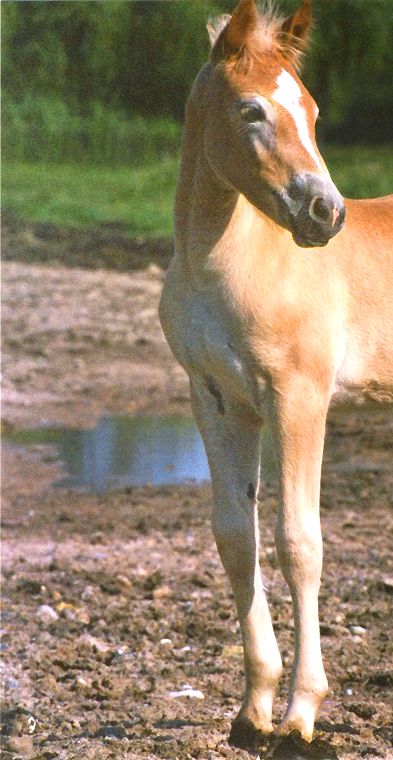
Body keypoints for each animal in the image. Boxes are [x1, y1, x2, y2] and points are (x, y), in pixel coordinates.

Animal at [158, 0, 392, 748]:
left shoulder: (299, 397)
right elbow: (237, 537)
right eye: (251, 109)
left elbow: (299, 542)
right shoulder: (218, 401)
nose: (326, 213)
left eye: (312, 110)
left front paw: (299, 715)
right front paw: (252, 710)